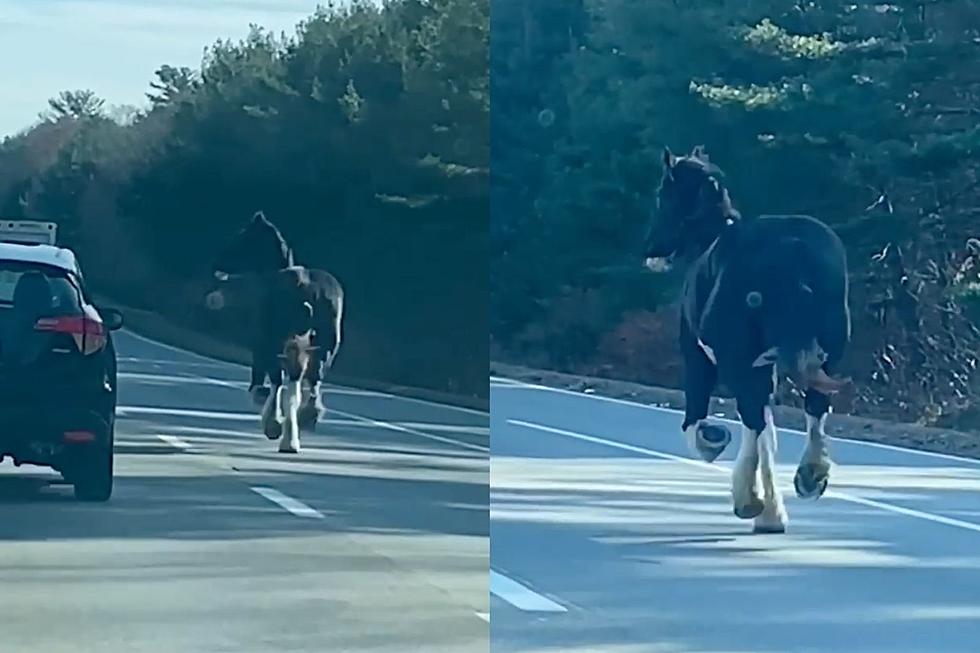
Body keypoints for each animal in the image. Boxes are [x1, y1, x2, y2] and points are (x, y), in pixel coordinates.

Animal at [205, 211, 346, 450]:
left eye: (242, 235)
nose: (217, 264)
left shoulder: (262, 349)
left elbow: (263, 386)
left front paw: (272, 422)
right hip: (324, 348)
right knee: (309, 383)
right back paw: (304, 424)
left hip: (280, 345)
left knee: (283, 384)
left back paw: (282, 433)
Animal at [644, 145, 848, 532]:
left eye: (662, 194)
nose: (651, 251)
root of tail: (792, 255)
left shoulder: (699, 356)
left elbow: (697, 421)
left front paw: (714, 440)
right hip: (830, 354)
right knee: (815, 408)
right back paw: (809, 478)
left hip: (738, 358)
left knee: (755, 417)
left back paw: (755, 505)